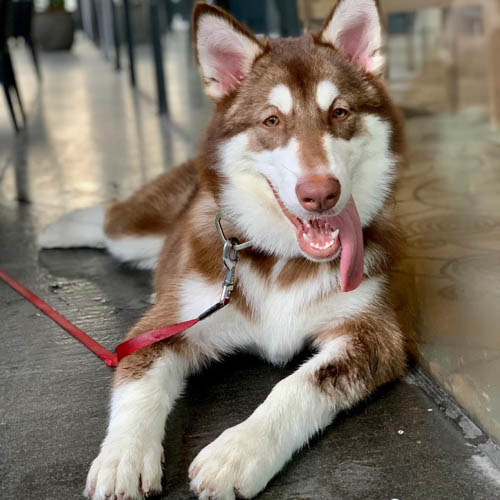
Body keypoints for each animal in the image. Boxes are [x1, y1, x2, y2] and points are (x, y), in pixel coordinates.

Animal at [39, 1, 408, 498]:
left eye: (340, 112)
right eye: (272, 120)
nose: (320, 194)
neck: (281, 257)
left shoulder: (374, 334)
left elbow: (298, 385)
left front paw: (237, 452)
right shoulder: (165, 323)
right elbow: (139, 382)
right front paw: (123, 456)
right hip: (135, 230)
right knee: (111, 218)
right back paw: (56, 226)